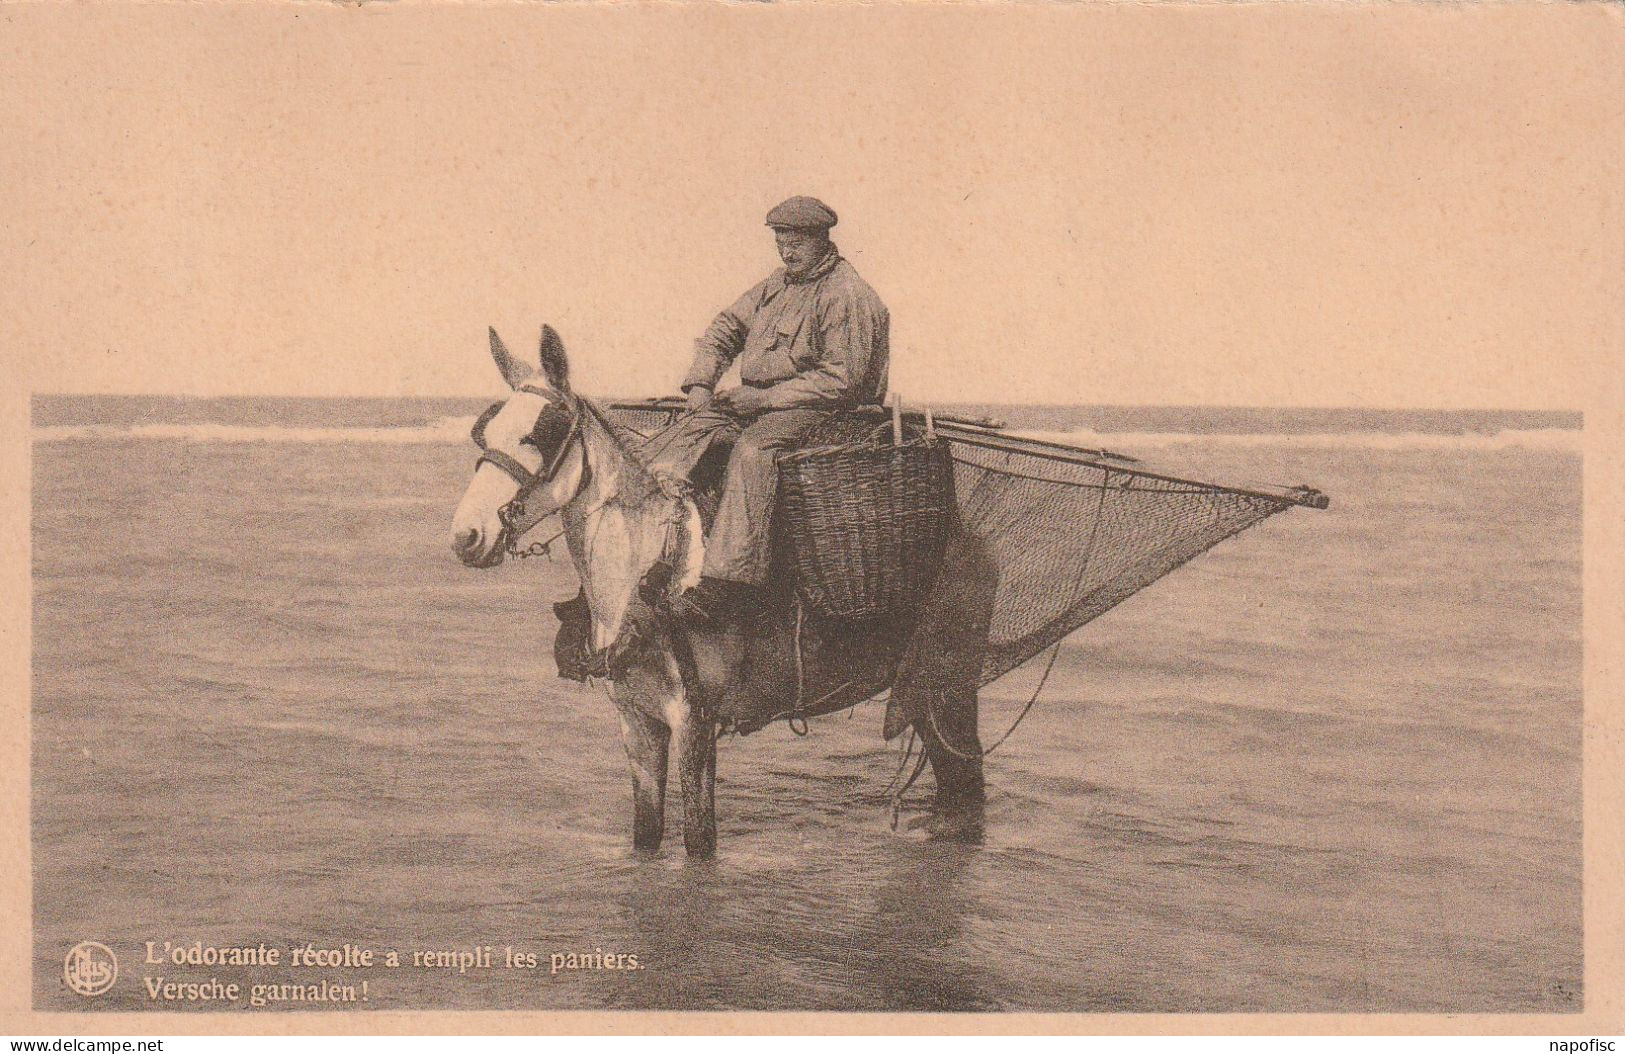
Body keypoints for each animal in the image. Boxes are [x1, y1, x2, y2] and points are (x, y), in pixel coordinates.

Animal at [455, 324, 988, 857]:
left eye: (538, 434)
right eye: (484, 432)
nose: (467, 536)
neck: (649, 578)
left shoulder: (694, 722)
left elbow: (698, 841)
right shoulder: (637, 724)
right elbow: (646, 834)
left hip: (948, 692)